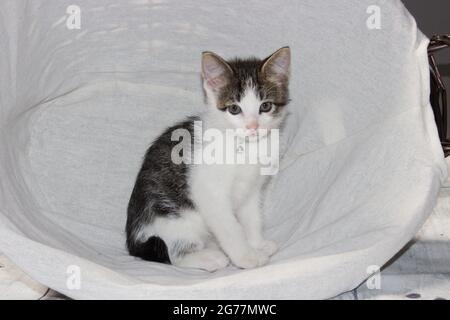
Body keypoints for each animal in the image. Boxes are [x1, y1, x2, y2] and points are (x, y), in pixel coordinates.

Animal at [125, 47, 292, 272]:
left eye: (265, 106)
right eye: (234, 109)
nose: (253, 127)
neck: (245, 146)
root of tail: (134, 239)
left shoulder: (253, 189)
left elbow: (252, 218)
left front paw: (257, 244)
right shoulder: (209, 191)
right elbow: (230, 227)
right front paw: (246, 257)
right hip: (176, 216)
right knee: (174, 254)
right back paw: (211, 257)